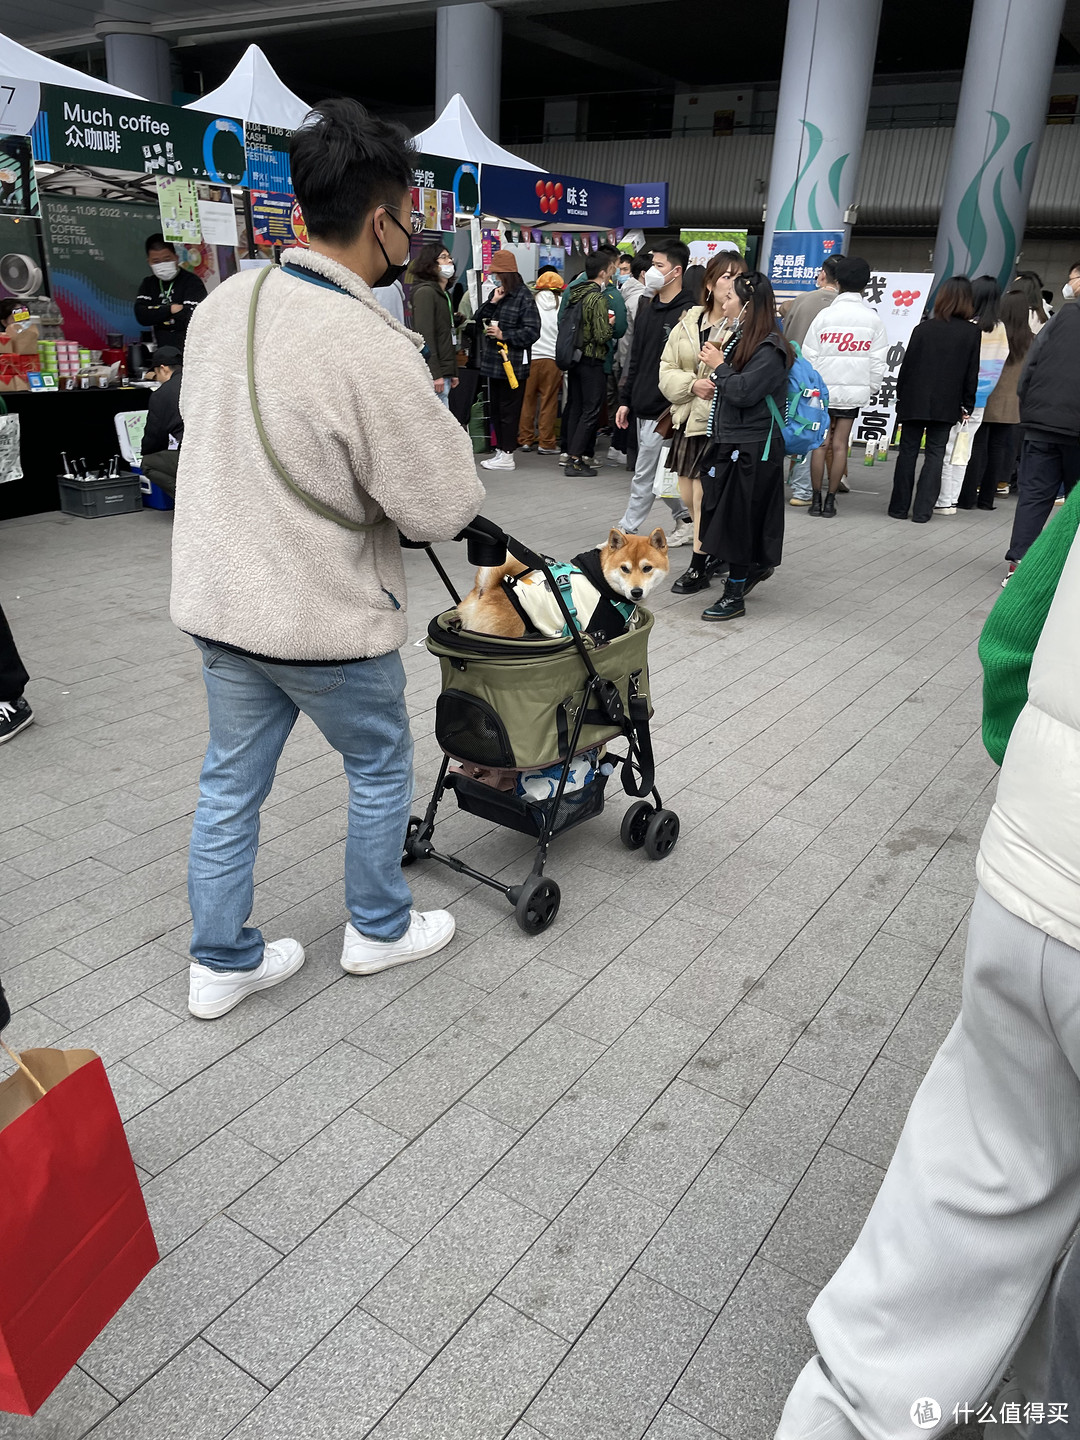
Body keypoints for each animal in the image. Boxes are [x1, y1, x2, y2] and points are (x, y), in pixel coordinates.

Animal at [455, 527, 668, 639]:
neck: (602, 581)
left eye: (647, 568)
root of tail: (485, 590)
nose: (636, 592)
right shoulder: (600, 627)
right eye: (624, 569)